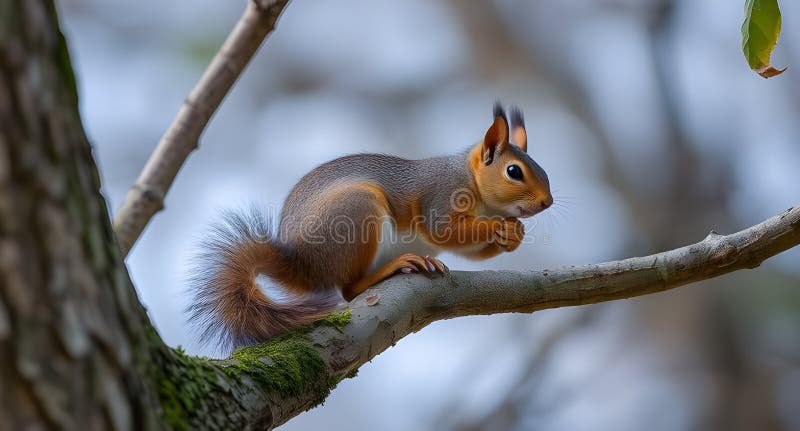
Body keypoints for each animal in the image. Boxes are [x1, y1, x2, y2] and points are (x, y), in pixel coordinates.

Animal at [187, 103, 553, 351]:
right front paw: (500, 227)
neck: (473, 185)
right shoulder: (440, 196)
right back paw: (398, 265)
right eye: (514, 171)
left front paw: (513, 235)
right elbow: (443, 231)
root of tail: (305, 266)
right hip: (358, 211)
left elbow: (473, 253)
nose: (547, 203)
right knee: (350, 289)